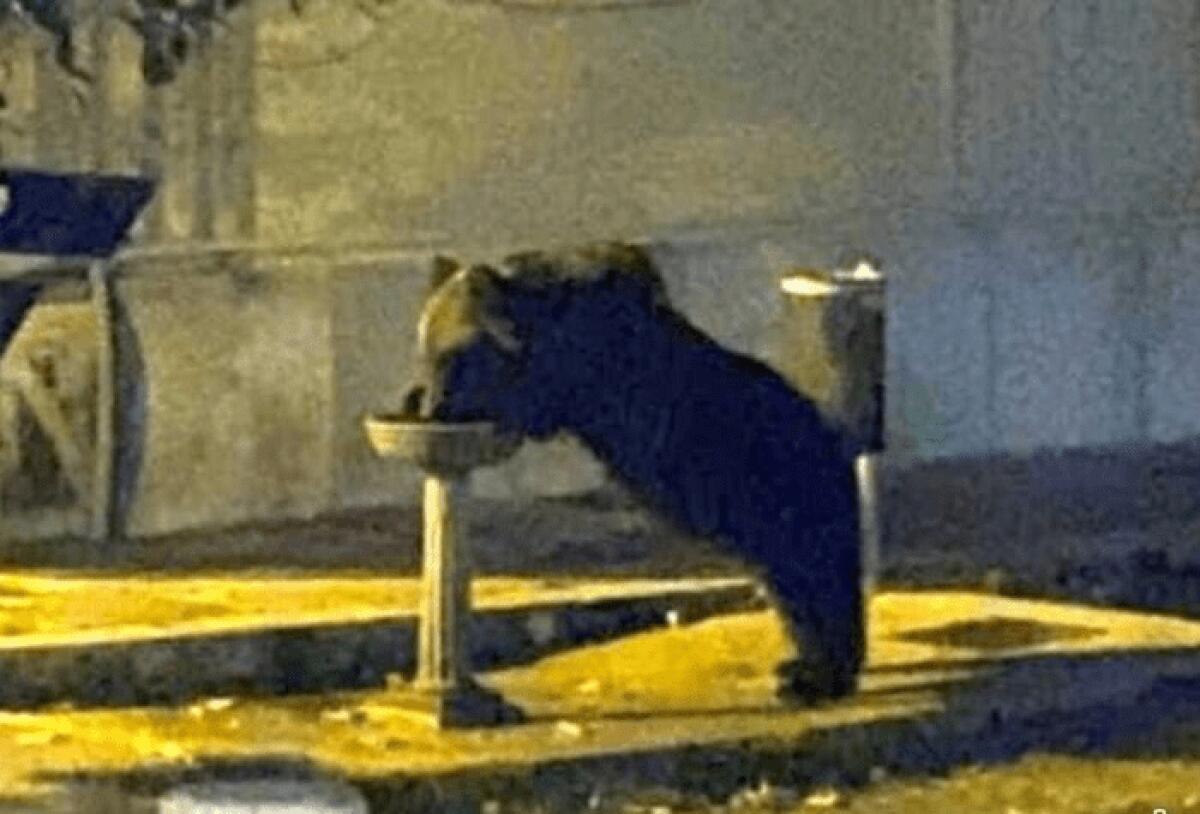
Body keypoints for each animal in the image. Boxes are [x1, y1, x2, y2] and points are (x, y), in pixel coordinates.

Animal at [401, 241, 864, 703]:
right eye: (426, 352)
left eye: (450, 356)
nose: (433, 405)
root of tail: (837, 446)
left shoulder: (580, 366)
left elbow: (533, 397)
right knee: (792, 587)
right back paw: (805, 668)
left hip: (779, 492)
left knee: (811, 577)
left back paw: (815, 676)